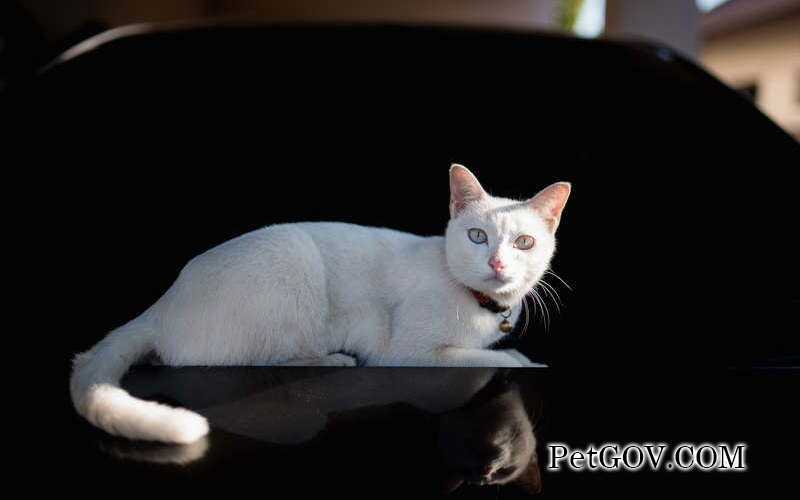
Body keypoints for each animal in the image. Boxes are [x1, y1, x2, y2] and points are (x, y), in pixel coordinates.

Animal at [69, 164, 568, 442]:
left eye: (523, 243)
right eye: (477, 236)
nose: (498, 262)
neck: (485, 308)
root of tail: (163, 303)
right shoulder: (412, 352)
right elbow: (505, 359)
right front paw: (527, 360)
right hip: (292, 262)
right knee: (253, 360)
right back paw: (335, 359)